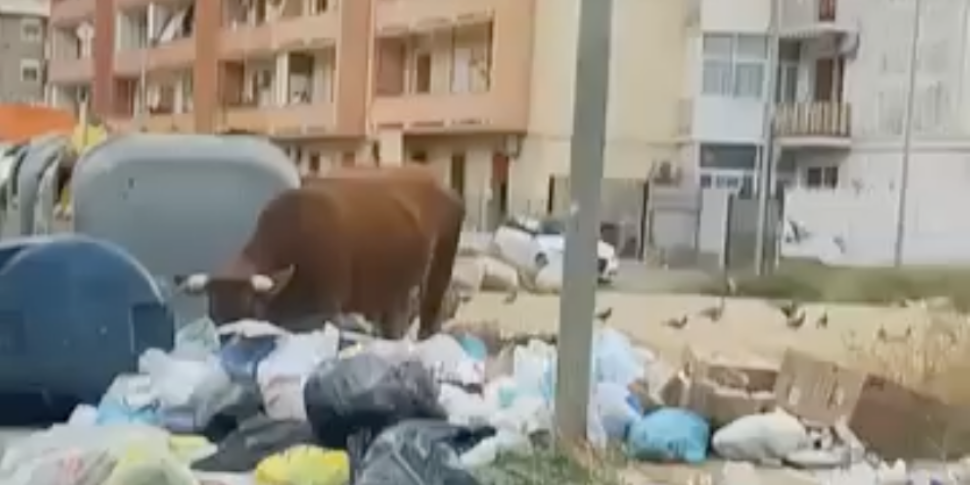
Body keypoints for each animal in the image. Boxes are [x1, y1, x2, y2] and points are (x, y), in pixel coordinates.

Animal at [182, 164, 468, 338]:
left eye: (249, 311)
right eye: (214, 314)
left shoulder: (328, 307)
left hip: (440, 271)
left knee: (429, 315)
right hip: (393, 292)